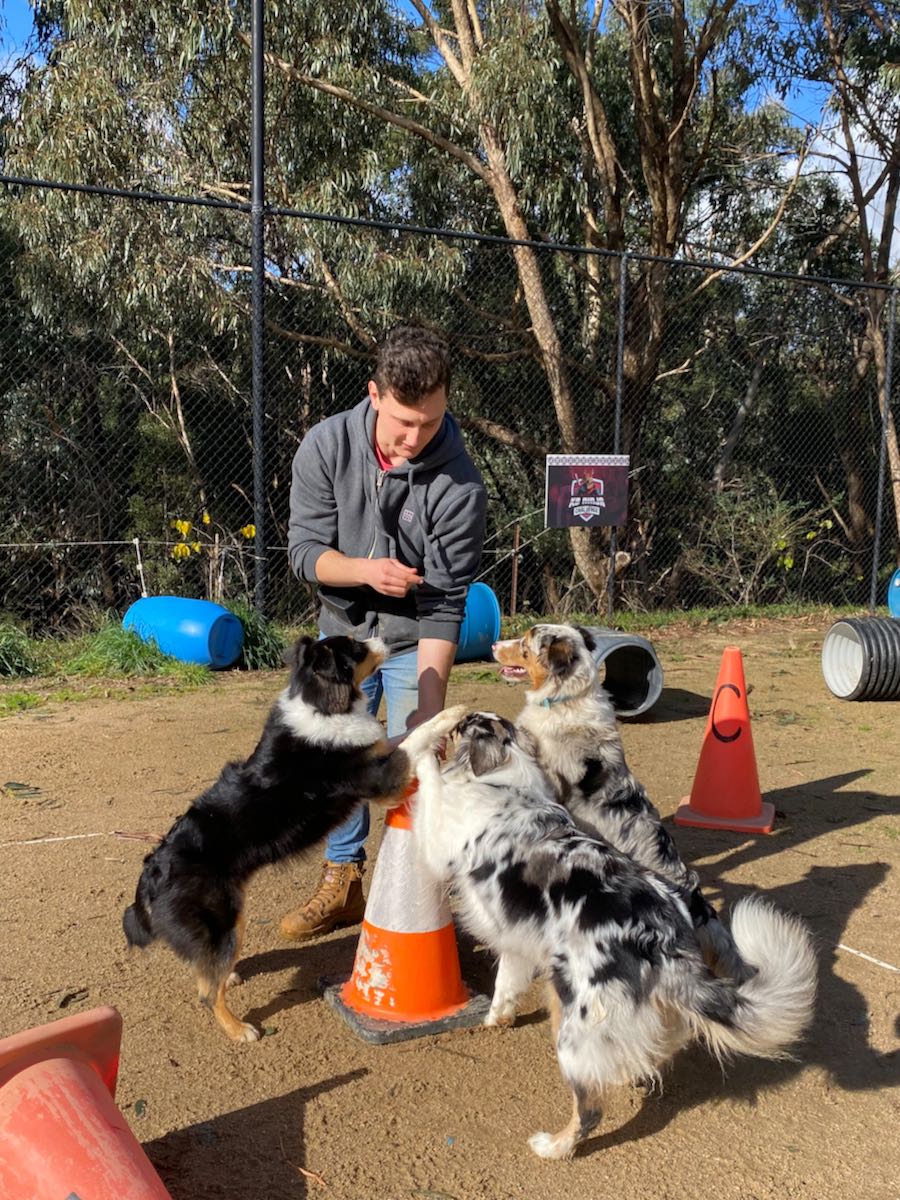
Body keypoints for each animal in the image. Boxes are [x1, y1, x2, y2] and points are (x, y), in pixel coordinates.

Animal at [123, 633, 465, 1042]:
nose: (388, 637)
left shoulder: (377, 756)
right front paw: (450, 714)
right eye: (356, 647)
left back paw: (231, 976)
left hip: (232, 917)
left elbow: (396, 737)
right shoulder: (381, 781)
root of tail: (151, 872)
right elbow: (414, 736)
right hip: (222, 919)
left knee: (207, 970)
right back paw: (239, 1029)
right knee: (207, 991)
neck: (322, 702)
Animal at [408, 711, 816, 1160]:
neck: (504, 779)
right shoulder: (516, 941)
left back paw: (555, 1146)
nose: (462, 715)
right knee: (650, 1051)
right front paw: (496, 1019)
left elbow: (424, 768)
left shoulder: (435, 842)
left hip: (573, 1024)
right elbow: (504, 988)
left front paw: (432, 727)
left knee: (590, 1109)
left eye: (467, 725)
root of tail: (664, 941)